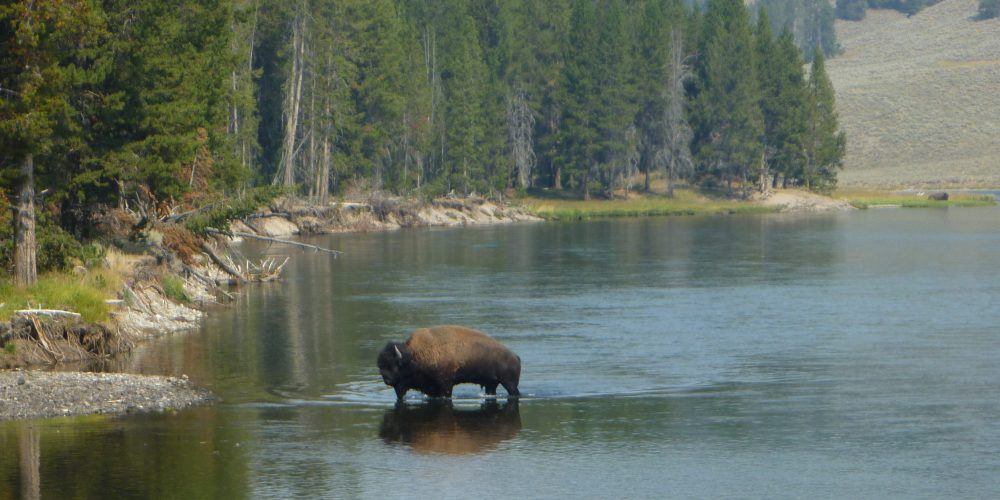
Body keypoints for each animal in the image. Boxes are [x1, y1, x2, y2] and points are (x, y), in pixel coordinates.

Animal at [376, 326, 524, 400]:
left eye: (394, 365)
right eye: (380, 366)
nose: (387, 380)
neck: (414, 355)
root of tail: (515, 356)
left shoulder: (444, 385)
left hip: (509, 384)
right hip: (491, 384)